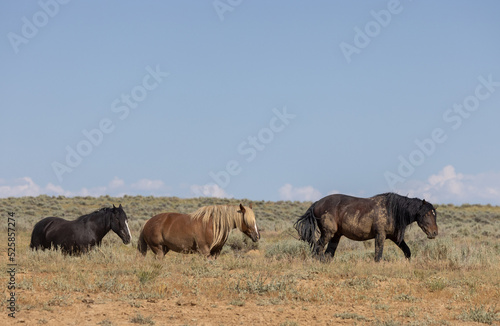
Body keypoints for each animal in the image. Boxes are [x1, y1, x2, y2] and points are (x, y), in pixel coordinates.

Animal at [292, 194, 438, 262]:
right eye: (426, 214)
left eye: (434, 214)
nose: (434, 233)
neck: (392, 210)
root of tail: (317, 203)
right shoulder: (380, 235)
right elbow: (378, 255)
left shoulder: (395, 237)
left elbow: (407, 251)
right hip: (328, 233)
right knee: (318, 247)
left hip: (336, 236)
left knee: (328, 253)